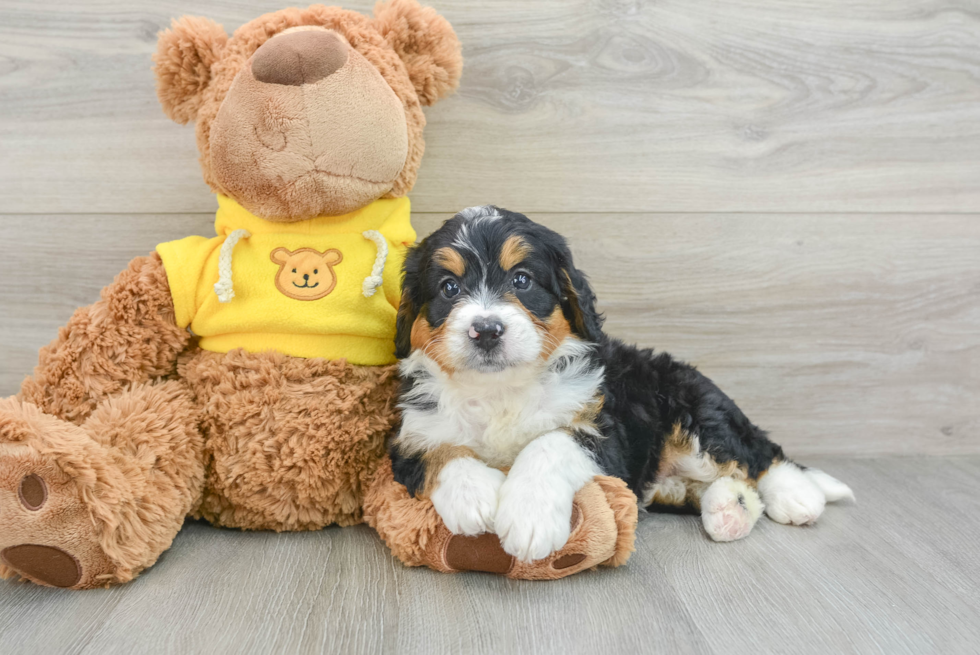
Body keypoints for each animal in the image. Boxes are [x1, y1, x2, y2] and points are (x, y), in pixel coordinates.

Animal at [388, 206, 848, 564]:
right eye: (449, 288)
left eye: (521, 280)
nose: (485, 330)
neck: (500, 388)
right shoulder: (409, 434)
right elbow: (440, 450)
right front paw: (475, 496)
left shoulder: (603, 430)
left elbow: (549, 443)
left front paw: (529, 515)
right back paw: (727, 511)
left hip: (695, 411)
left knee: (758, 452)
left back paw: (797, 495)